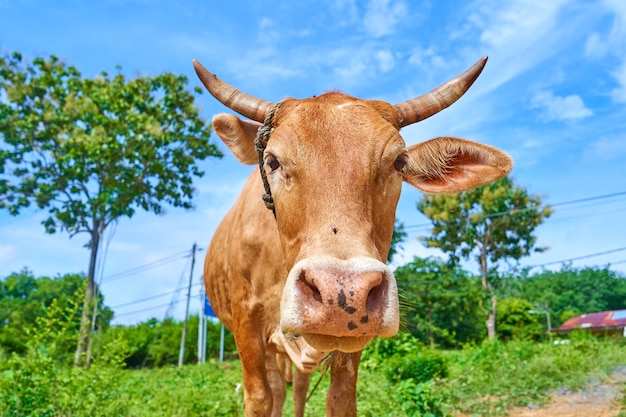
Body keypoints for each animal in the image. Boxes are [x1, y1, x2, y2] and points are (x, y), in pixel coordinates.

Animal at [194, 56, 508, 416]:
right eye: (272, 161)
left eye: (399, 161)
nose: (342, 292)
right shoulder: (247, 326)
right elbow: (260, 399)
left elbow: (340, 399)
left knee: (296, 389)